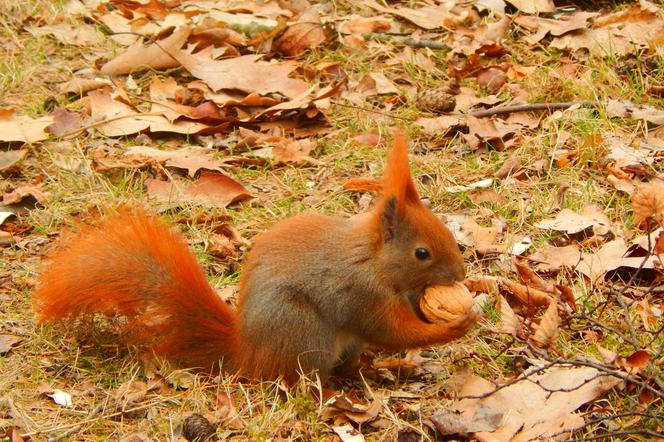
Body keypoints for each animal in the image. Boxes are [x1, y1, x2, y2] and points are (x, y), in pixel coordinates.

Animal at [32, 129, 478, 382]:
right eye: (422, 252)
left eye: (445, 231)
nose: (459, 274)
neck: (373, 261)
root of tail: (245, 353)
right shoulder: (361, 294)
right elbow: (392, 331)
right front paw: (456, 326)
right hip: (302, 331)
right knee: (298, 379)